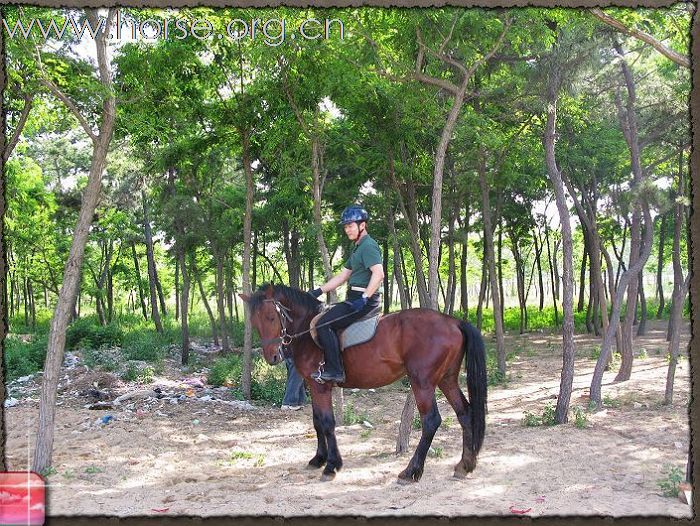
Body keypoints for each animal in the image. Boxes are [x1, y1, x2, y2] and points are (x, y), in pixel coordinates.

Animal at [241, 284, 486, 482]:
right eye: (254, 322)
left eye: (271, 317)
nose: (273, 357)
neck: (308, 332)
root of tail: (453, 321)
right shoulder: (312, 384)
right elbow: (317, 421)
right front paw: (318, 459)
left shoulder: (320, 386)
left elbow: (327, 423)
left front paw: (331, 465)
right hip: (447, 379)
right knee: (465, 413)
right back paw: (464, 465)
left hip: (422, 383)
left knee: (431, 421)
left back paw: (411, 472)